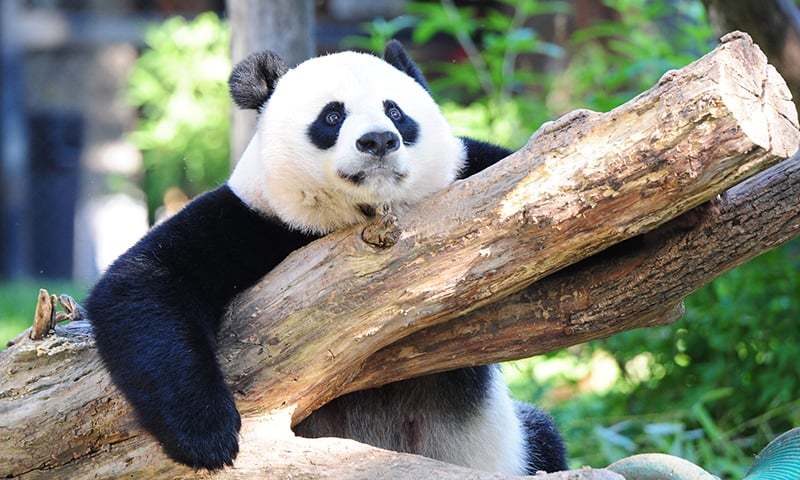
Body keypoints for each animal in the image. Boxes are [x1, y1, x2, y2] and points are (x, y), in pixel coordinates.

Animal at [84, 42, 564, 476]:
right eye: (332, 116)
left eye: (395, 112)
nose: (378, 141)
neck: (362, 215)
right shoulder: (253, 219)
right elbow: (144, 282)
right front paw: (207, 434)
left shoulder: (474, 174)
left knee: (545, 435)